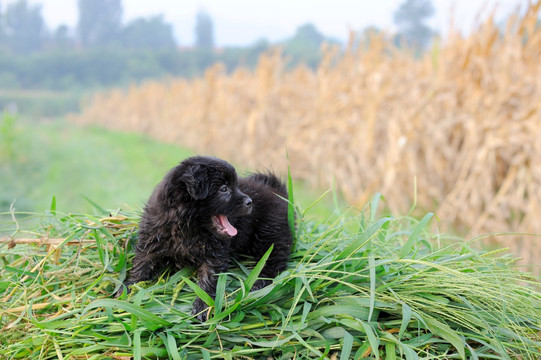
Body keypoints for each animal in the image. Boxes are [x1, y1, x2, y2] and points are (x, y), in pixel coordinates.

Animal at [115, 155, 292, 320]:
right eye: (223, 189)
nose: (250, 202)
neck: (187, 227)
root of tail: (277, 191)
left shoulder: (215, 254)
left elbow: (208, 280)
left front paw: (202, 307)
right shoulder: (151, 239)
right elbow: (141, 266)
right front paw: (126, 289)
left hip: (269, 234)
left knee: (273, 261)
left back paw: (259, 283)